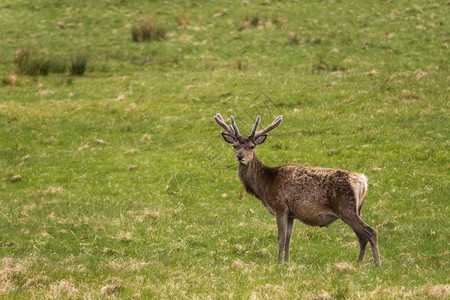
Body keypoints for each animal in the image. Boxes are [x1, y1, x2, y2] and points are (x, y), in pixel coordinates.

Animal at [214, 113, 380, 266]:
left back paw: (377, 265)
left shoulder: (280, 207)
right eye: (234, 145)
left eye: (252, 146)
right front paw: (287, 263)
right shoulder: (291, 214)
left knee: (370, 232)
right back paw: (359, 264)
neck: (266, 184)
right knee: (361, 236)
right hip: (356, 209)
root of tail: (362, 181)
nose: (240, 156)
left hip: (345, 207)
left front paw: (279, 264)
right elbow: (288, 239)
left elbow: (281, 239)